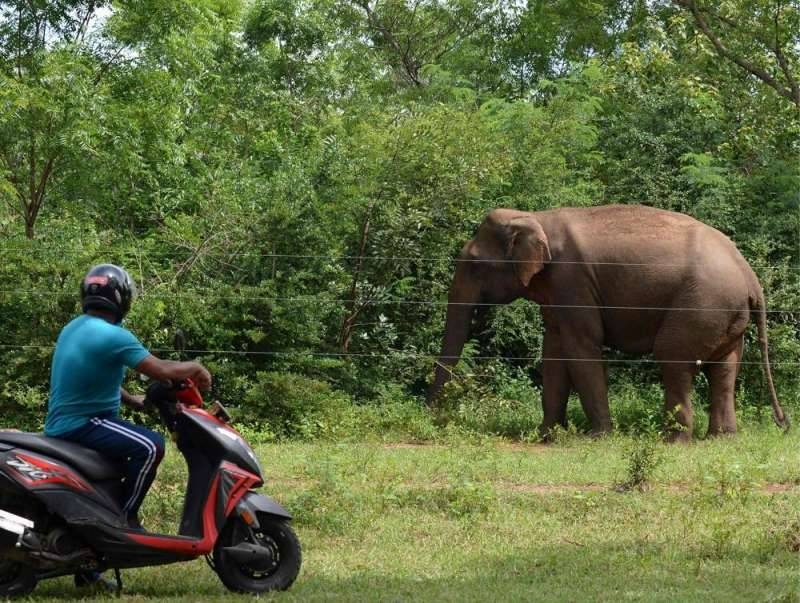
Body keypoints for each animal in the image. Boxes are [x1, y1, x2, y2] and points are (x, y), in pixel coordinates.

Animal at [432, 205, 788, 442]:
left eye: (474, 264)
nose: (436, 421)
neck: (535, 216)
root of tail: (750, 276)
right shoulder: (557, 291)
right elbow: (554, 352)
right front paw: (545, 436)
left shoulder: (571, 280)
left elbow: (581, 348)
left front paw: (598, 438)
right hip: (727, 314)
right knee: (725, 368)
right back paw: (721, 438)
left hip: (703, 303)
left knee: (673, 357)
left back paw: (673, 441)